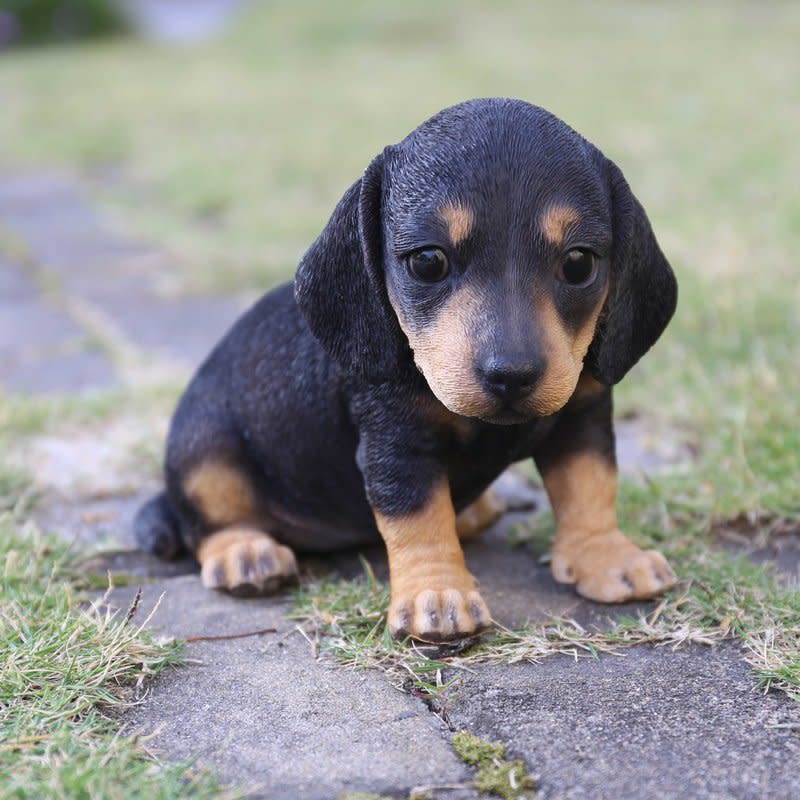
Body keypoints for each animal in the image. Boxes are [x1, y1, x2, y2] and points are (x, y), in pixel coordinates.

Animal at [134, 97, 680, 640]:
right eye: (428, 262)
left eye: (579, 263)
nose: (511, 375)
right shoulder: (397, 441)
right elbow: (418, 517)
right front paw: (436, 595)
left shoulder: (582, 418)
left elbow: (591, 487)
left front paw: (607, 556)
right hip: (204, 453)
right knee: (207, 520)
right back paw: (244, 552)